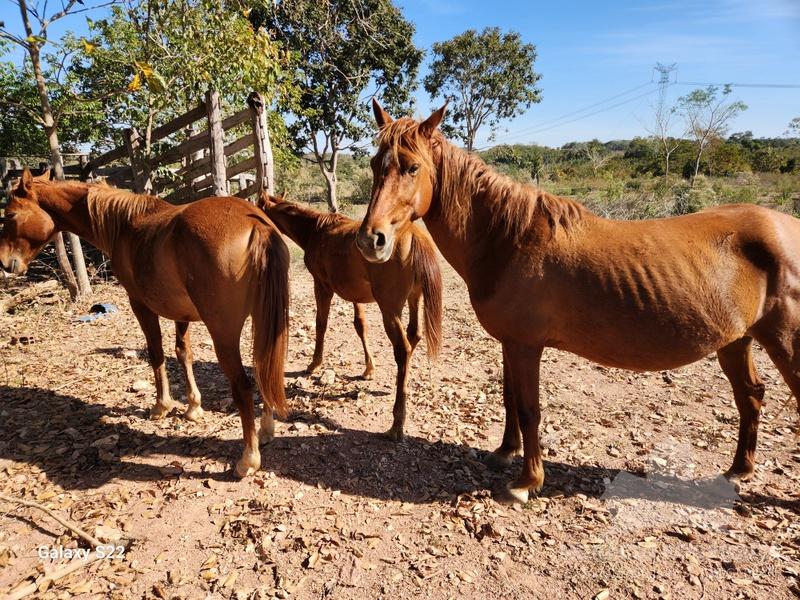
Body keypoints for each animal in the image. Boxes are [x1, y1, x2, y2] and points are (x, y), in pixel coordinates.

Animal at [0, 170, 289, 478]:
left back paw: (248, 459)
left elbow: (156, 354)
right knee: (262, 368)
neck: (125, 225)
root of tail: (255, 223)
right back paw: (266, 430)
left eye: (10, 215)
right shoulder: (181, 314)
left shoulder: (139, 305)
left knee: (243, 386)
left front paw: (161, 406)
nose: (5, 263)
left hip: (223, 332)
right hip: (261, 321)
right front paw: (193, 407)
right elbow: (183, 353)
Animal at [258, 193, 441, 439]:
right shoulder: (356, 294)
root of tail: (415, 237)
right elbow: (360, 326)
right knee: (414, 336)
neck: (315, 230)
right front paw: (368, 369)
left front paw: (314, 364)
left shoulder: (322, 286)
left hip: (390, 309)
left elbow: (321, 324)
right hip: (414, 299)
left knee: (402, 349)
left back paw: (397, 423)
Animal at [357, 100, 800, 503]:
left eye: (412, 168)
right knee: (750, 394)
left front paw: (526, 482)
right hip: (736, 340)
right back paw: (738, 471)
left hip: (783, 343)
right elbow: (510, 399)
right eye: (375, 165)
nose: (371, 240)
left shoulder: (526, 345)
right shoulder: (510, 343)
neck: (509, 241)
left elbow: (530, 409)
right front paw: (504, 452)